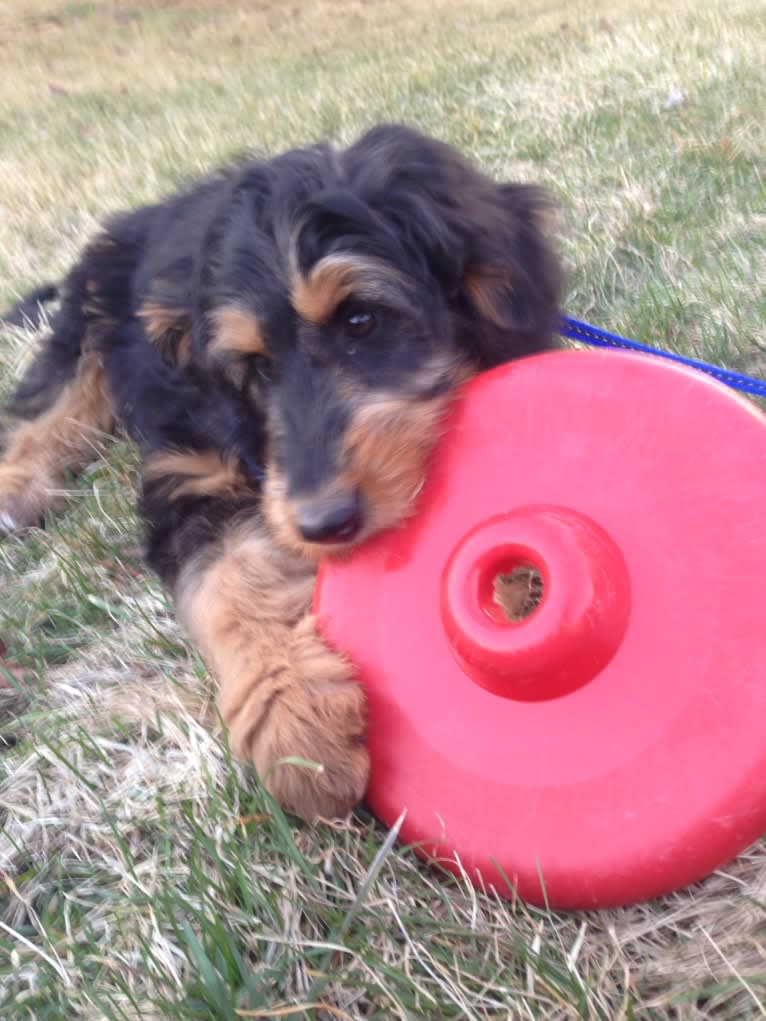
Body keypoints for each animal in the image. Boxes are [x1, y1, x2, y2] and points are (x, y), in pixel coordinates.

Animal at [0, 123, 563, 816]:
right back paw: (17, 490)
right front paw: (292, 717)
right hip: (90, 317)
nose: (324, 523)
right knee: (55, 405)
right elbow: (227, 575)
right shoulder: (189, 470)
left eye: (361, 320)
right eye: (256, 365)